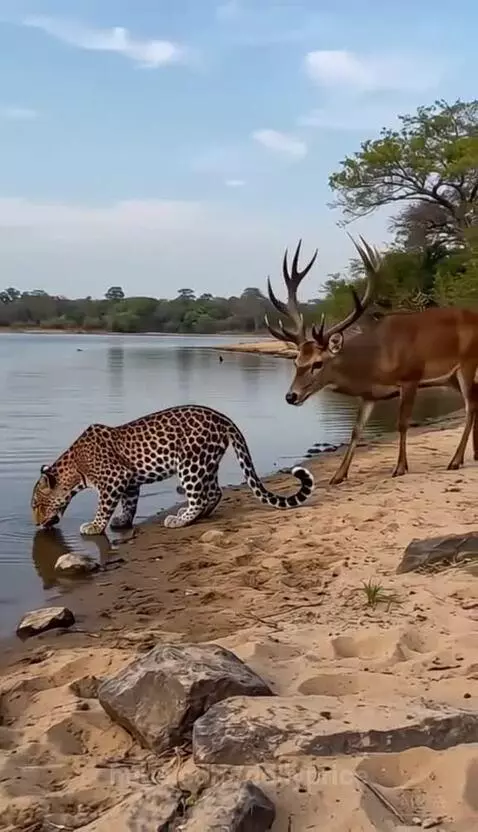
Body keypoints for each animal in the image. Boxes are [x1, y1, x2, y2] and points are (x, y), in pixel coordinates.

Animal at [31, 404, 314, 536]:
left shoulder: (113, 479)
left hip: (190, 463)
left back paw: (180, 520)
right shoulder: (129, 480)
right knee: (214, 492)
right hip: (207, 463)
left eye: (36, 504)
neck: (75, 468)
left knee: (199, 496)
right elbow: (129, 503)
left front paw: (94, 526)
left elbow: (103, 506)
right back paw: (196, 515)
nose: (35, 524)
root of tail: (223, 418)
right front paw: (123, 521)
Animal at [264, 237, 478, 485]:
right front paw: (338, 475)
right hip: (451, 378)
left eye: (317, 363)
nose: (291, 396)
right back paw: (473, 454)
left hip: (467, 364)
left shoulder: (410, 377)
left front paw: (400, 467)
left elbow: (402, 423)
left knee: (470, 406)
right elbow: (356, 430)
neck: (376, 361)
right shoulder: (369, 395)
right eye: (296, 362)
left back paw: (455, 460)